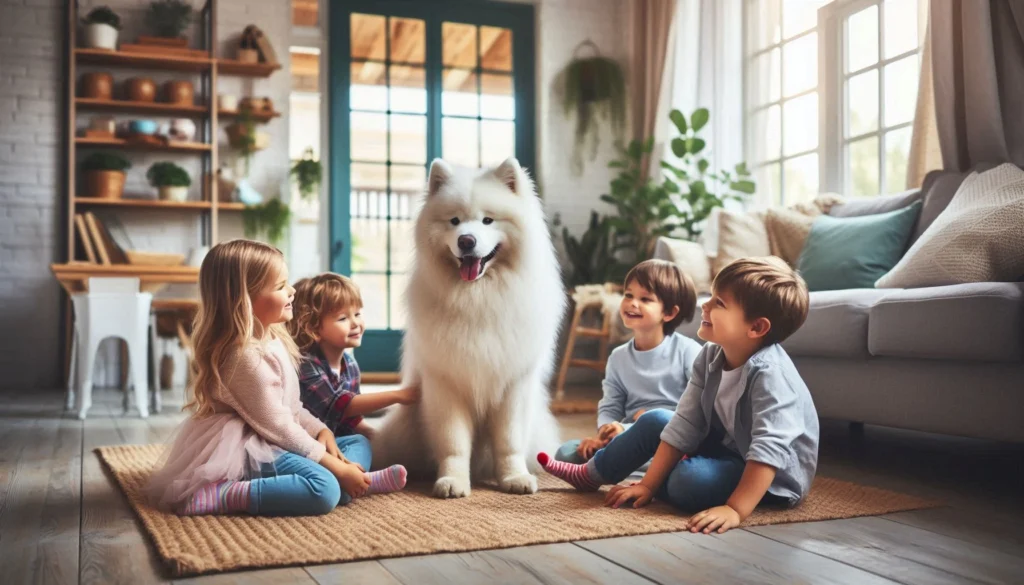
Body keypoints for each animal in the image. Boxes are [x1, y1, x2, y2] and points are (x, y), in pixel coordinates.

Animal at [368, 156, 565, 499]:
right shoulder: (447, 385)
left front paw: (514, 478)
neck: (477, 298)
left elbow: (509, 442)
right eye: (454, 221)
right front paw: (453, 481)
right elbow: (454, 444)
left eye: (487, 221)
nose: (466, 240)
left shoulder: (513, 386)